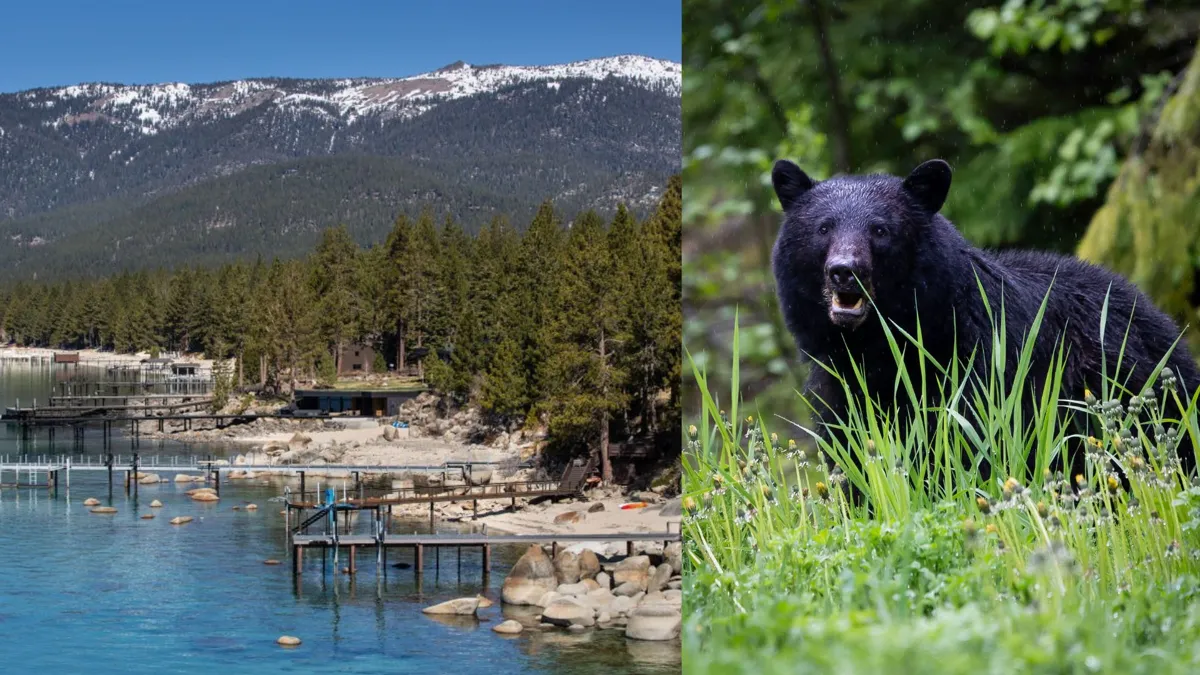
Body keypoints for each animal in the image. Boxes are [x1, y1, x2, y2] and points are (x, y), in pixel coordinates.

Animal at [769, 157, 1199, 489]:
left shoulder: (981, 368)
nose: (845, 271)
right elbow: (852, 455)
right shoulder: (837, 387)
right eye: (823, 228)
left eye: (880, 229)